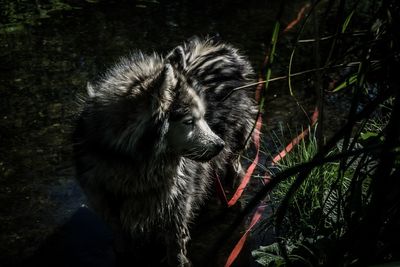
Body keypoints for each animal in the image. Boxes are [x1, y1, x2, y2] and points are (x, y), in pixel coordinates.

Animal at [73, 37, 258, 266]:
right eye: (189, 122)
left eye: (203, 116)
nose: (220, 145)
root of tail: (214, 48)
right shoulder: (111, 213)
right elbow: (124, 246)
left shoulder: (176, 210)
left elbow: (176, 250)